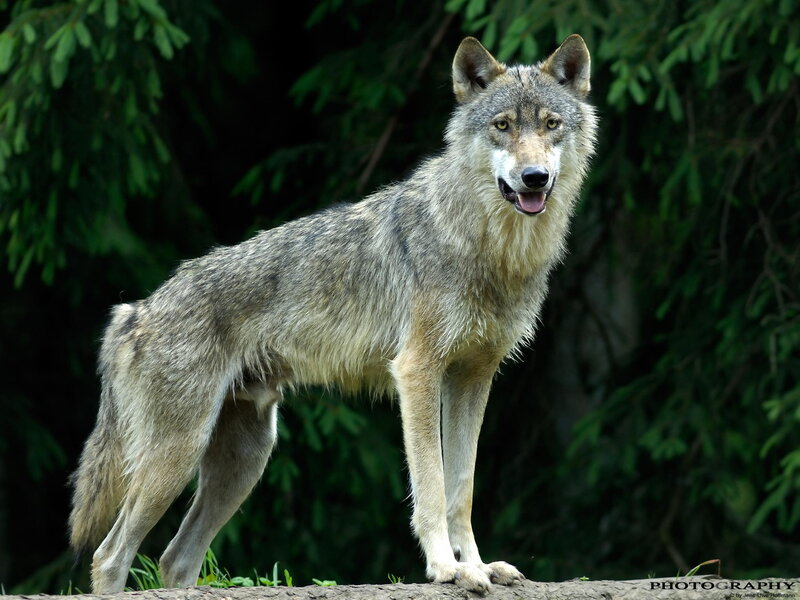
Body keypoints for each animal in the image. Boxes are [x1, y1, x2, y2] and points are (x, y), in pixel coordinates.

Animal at [69, 34, 597, 594]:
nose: (534, 177)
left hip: (244, 462)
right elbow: (432, 486)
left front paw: (477, 565)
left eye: (550, 124)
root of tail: (134, 310)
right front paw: (446, 568)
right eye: (502, 126)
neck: (489, 247)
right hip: (178, 457)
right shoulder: (417, 372)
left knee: (174, 559)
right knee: (110, 555)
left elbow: (462, 488)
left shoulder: (474, 378)